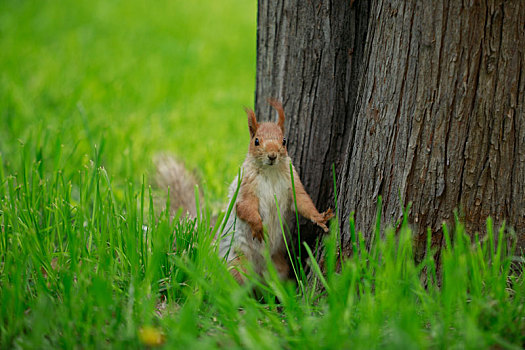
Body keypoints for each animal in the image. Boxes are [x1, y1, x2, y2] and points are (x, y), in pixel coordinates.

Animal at [218, 98, 334, 282]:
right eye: (256, 141)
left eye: (284, 140)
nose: (272, 155)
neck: (270, 172)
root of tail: (258, 270)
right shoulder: (245, 187)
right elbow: (244, 207)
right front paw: (258, 226)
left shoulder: (293, 183)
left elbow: (303, 202)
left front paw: (319, 218)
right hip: (237, 262)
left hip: (278, 267)